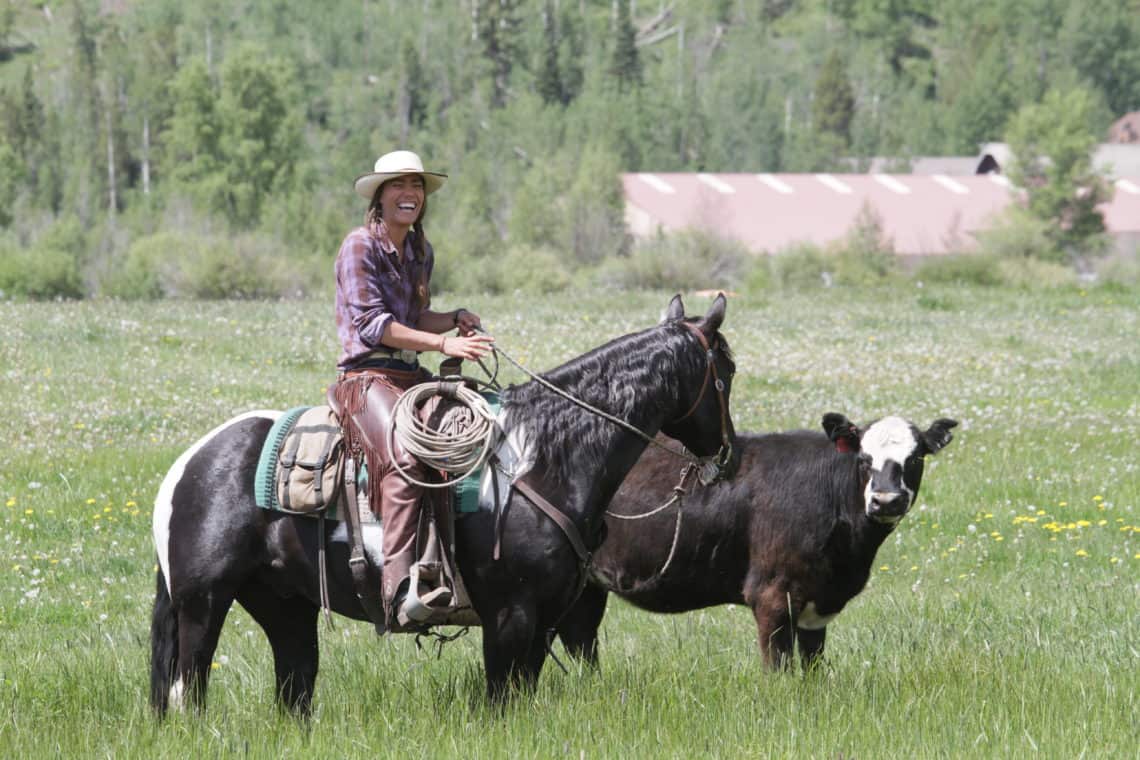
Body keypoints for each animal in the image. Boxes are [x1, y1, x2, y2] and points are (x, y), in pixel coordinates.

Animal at [149, 293, 738, 715]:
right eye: (726, 374)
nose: (727, 453)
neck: (543, 457)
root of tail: (187, 465)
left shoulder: (548, 618)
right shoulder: (510, 616)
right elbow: (502, 701)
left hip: (284, 604)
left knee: (293, 687)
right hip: (201, 603)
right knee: (188, 690)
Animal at [556, 412, 957, 669]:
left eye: (915, 457)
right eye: (863, 458)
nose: (886, 500)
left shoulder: (816, 606)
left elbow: (812, 667)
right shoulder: (772, 596)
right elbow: (778, 669)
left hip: (589, 586)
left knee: (580, 639)